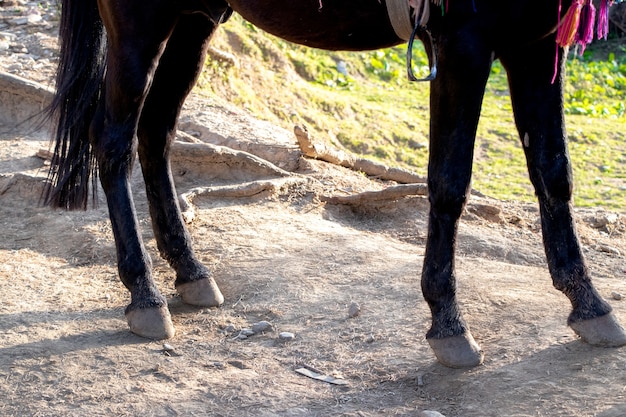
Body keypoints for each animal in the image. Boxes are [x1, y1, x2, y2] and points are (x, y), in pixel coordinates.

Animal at [45, 0, 624, 364]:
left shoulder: (538, 41)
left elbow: (553, 171)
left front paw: (588, 301)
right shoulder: (462, 43)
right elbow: (449, 182)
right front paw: (447, 320)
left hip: (193, 19)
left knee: (156, 130)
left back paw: (189, 269)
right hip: (139, 22)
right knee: (112, 141)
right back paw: (143, 293)